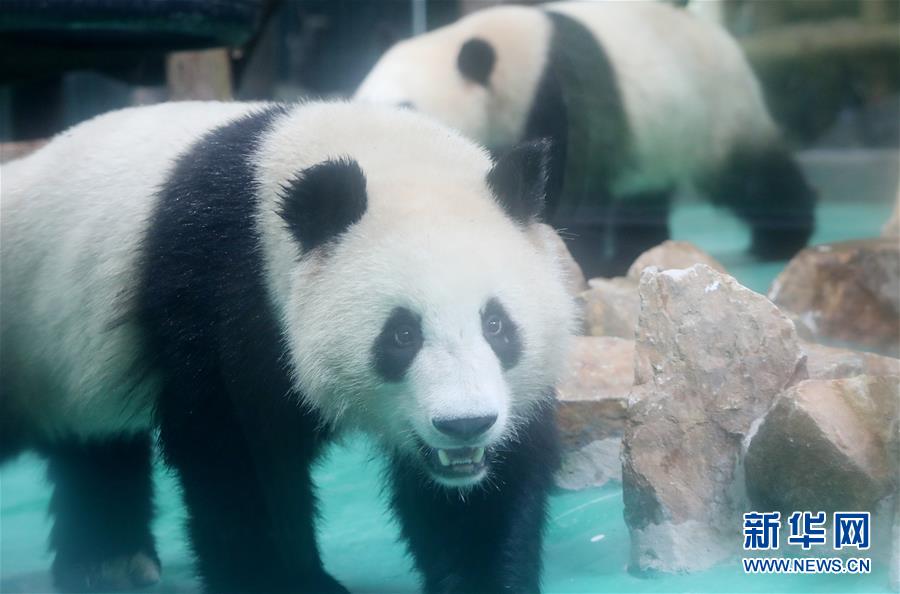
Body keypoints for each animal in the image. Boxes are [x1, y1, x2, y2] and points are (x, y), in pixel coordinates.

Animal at [0, 101, 576, 593]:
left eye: (497, 325)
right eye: (401, 334)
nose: (464, 424)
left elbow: (482, 498)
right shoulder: (220, 291)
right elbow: (235, 453)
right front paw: (286, 580)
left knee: (95, 444)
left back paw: (107, 559)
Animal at [355, 1, 817, 277]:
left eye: (406, 107)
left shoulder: (560, 98)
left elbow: (565, 184)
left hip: (716, 112)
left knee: (752, 176)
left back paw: (781, 239)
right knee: (644, 195)